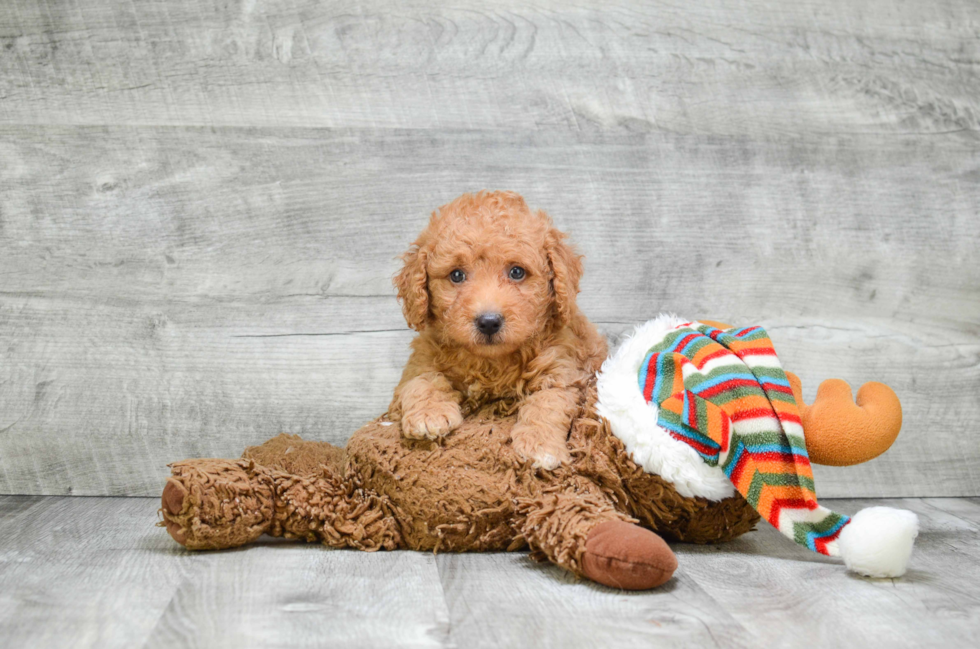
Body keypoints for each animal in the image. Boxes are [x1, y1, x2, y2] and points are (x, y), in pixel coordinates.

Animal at [388, 190, 604, 468]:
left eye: (517, 272)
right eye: (456, 275)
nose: (489, 322)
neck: (490, 362)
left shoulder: (561, 369)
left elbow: (548, 402)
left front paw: (540, 444)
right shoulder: (420, 359)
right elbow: (421, 380)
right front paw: (429, 414)